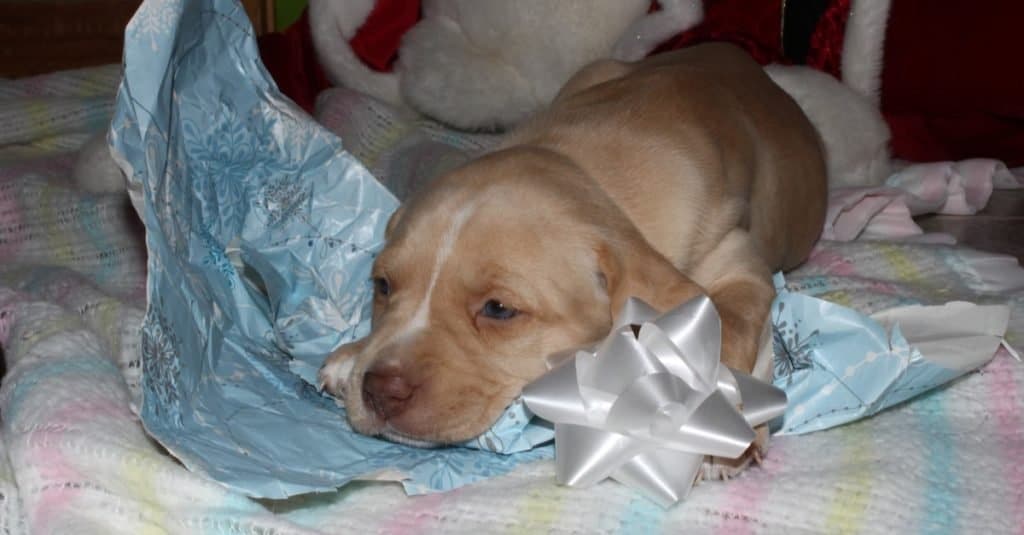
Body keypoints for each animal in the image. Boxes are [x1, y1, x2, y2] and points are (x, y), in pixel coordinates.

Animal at [315, 42, 827, 448]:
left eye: (499, 310)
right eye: (382, 286)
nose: (379, 390)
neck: (586, 170)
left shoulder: (738, 264)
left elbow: (727, 327)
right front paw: (351, 356)